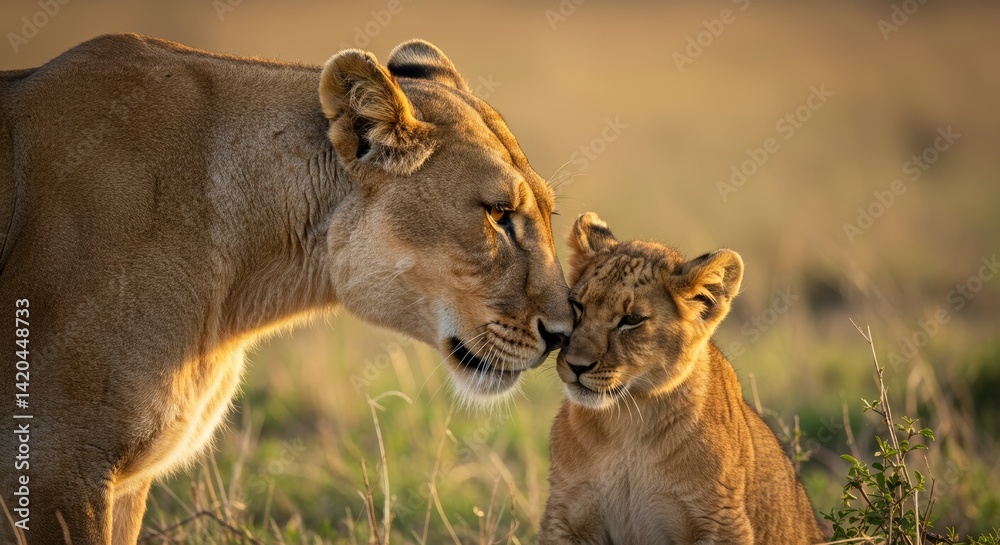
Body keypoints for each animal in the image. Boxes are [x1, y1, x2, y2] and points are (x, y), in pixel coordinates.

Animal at [539, 213, 825, 544]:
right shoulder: (566, 516)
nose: (576, 365)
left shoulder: (722, 521)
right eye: (578, 306)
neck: (627, 422)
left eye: (631, 320)